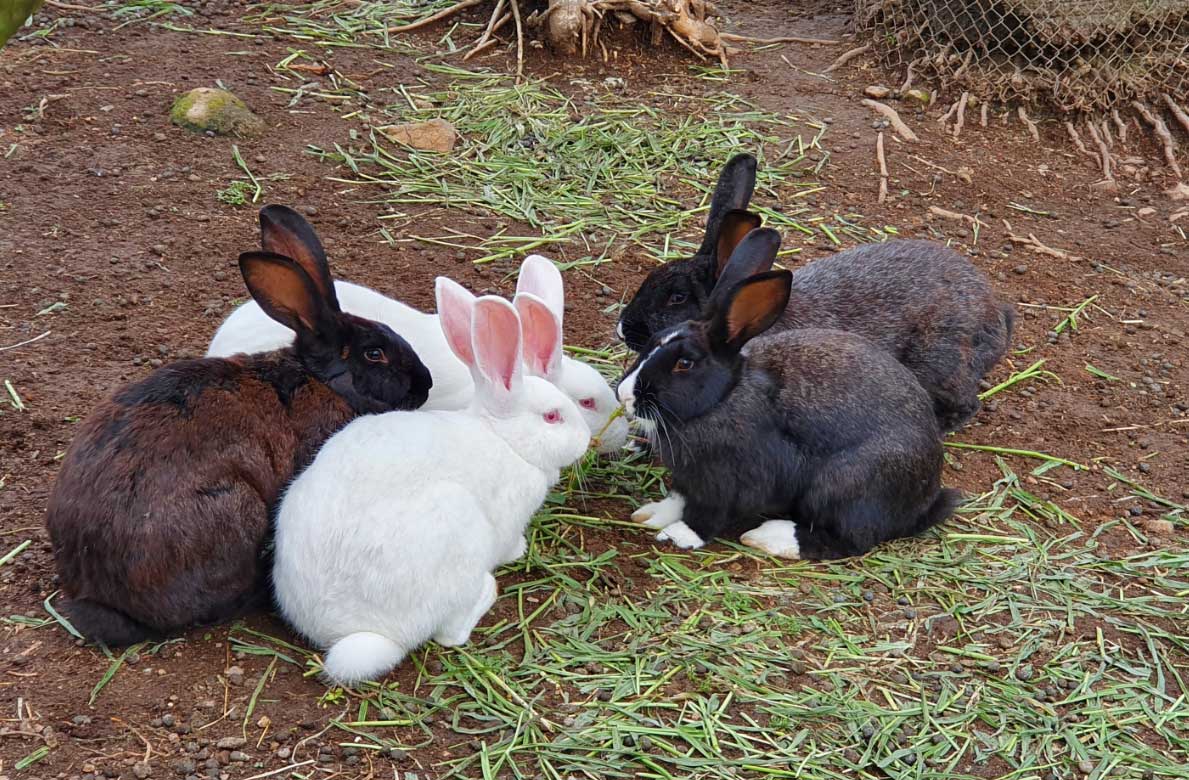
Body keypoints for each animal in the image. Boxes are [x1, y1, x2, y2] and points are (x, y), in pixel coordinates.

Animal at [272, 285, 591, 684]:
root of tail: (361, 631)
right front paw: (517, 551)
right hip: (460, 537)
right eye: (551, 417)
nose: (586, 438)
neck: (502, 437)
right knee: (449, 633)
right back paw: (486, 592)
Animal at [615, 227, 960, 560]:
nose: (624, 395)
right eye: (655, 340)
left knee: (849, 540)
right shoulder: (688, 480)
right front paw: (652, 515)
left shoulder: (727, 482)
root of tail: (926, 499)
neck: (724, 398)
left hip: (842, 487)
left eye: (684, 364)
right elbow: (678, 498)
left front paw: (678, 535)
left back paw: (770, 537)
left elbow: (706, 515)